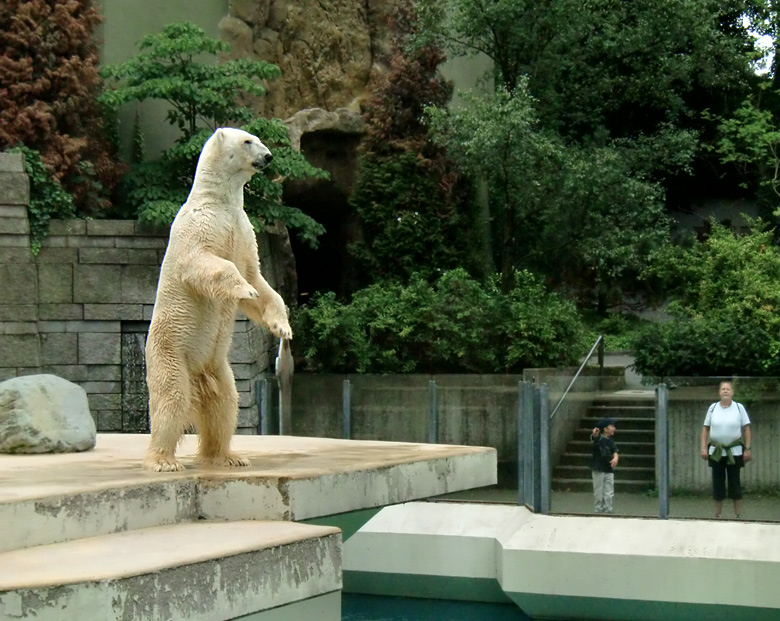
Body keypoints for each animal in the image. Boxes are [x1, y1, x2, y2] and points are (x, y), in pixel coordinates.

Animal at [143, 128, 292, 472]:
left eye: (258, 139)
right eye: (248, 141)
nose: (268, 157)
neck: (219, 200)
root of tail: (197, 376)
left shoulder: (243, 230)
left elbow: (259, 278)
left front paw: (281, 326)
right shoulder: (201, 227)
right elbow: (204, 263)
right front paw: (243, 290)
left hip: (218, 367)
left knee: (225, 404)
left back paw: (228, 455)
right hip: (170, 353)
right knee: (171, 399)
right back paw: (163, 460)